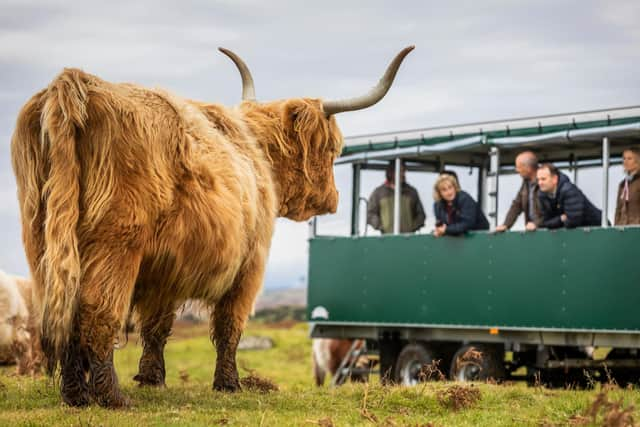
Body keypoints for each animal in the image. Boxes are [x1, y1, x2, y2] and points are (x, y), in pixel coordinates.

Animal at [11, 46, 416, 408]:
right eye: (332, 148)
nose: (332, 199)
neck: (255, 153)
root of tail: (77, 85)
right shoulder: (250, 264)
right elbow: (228, 325)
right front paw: (229, 383)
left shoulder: (165, 267)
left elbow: (156, 326)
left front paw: (152, 378)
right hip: (117, 243)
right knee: (97, 311)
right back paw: (111, 398)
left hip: (43, 241)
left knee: (62, 311)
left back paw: (75, 395)